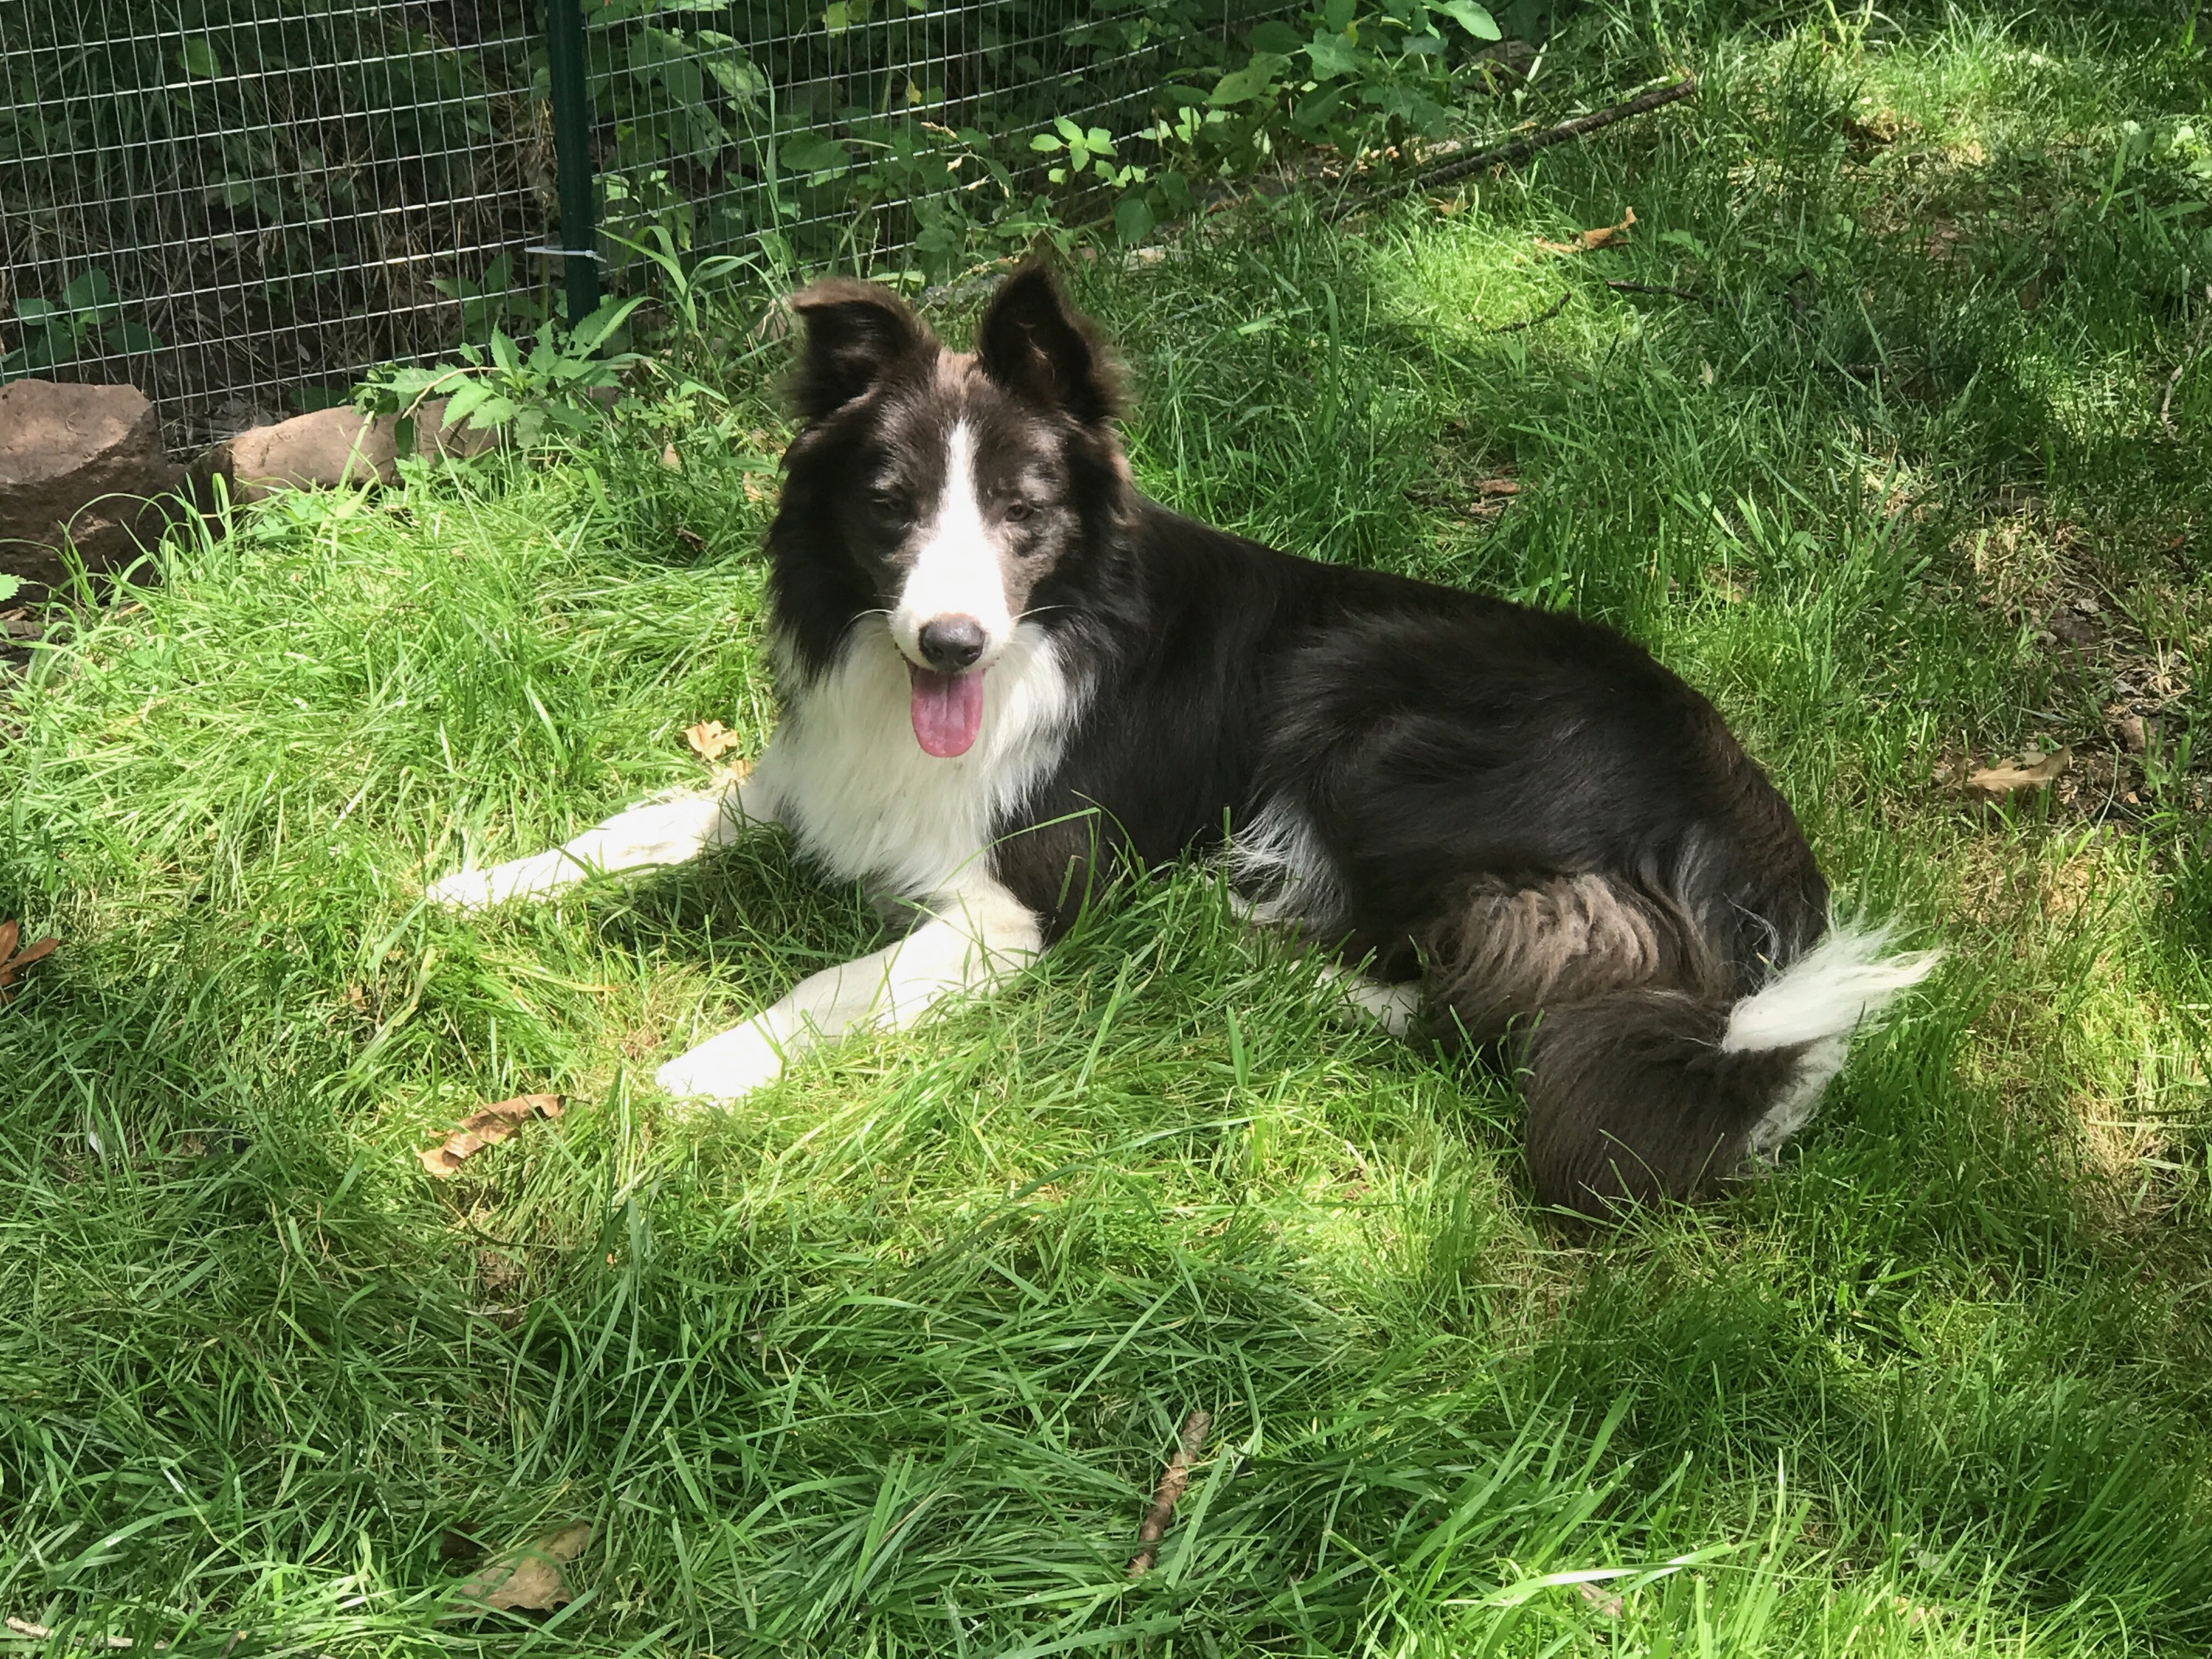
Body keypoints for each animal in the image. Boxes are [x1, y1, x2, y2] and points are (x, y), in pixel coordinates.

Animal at [436, 263, 1938, 1221]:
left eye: (1027, 511)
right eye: (889, 503)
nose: (950, 645)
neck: (1044, 641)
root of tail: (1758, 856)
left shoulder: (1020, 903)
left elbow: (825, 989)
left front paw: (691, 1076)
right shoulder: (814, 779)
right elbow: (646, 818)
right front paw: (471, 888)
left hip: (1368, 709)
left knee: (1479, 994)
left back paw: (1260, 963)